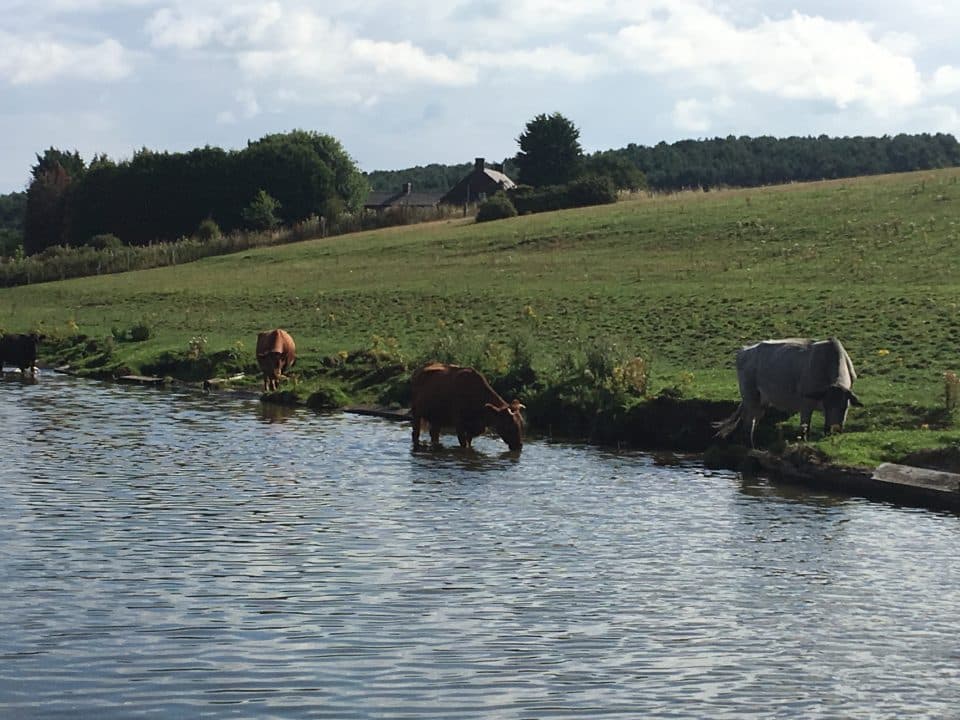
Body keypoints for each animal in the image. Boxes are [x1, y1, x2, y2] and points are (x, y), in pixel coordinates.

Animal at [712, 336, 864, 448]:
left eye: (845, 406)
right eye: (826, 405)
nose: (834, 430)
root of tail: (745, 350)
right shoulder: (806, 404)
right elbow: (804, 429)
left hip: (761, 402)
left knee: (752, 422)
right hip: (750, 396)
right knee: (748, 424)